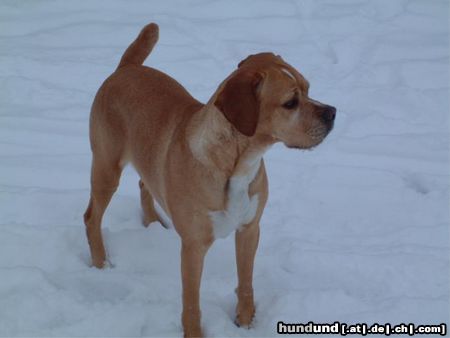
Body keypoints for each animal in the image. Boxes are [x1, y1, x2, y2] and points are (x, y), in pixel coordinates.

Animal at [84, 22, 336, 336]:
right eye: (290, 102)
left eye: (308, 88)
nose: (333, 113)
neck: (237, 164)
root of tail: (126, 68)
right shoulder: (194, 246)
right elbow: (191, 302)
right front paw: (195, 332)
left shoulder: (249, 229)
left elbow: (246, 283)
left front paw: (245, 321)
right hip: (106, 168)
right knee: (91, 217)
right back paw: (100, 264)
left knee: (145, 182)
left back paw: (152, 222)